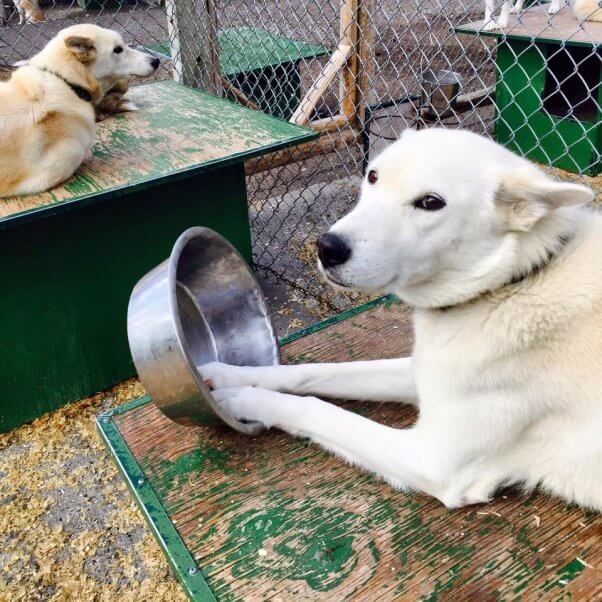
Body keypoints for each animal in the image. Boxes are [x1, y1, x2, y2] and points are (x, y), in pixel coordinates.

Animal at [200, 127, 600, 510]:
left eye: (430, 203)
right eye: (373, 176)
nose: (326, 248)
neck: (511, 282)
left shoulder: (433, 460)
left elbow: (314, 408)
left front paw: (240, 399)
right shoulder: (425, 371)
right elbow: (314, 372)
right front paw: (228, 375)